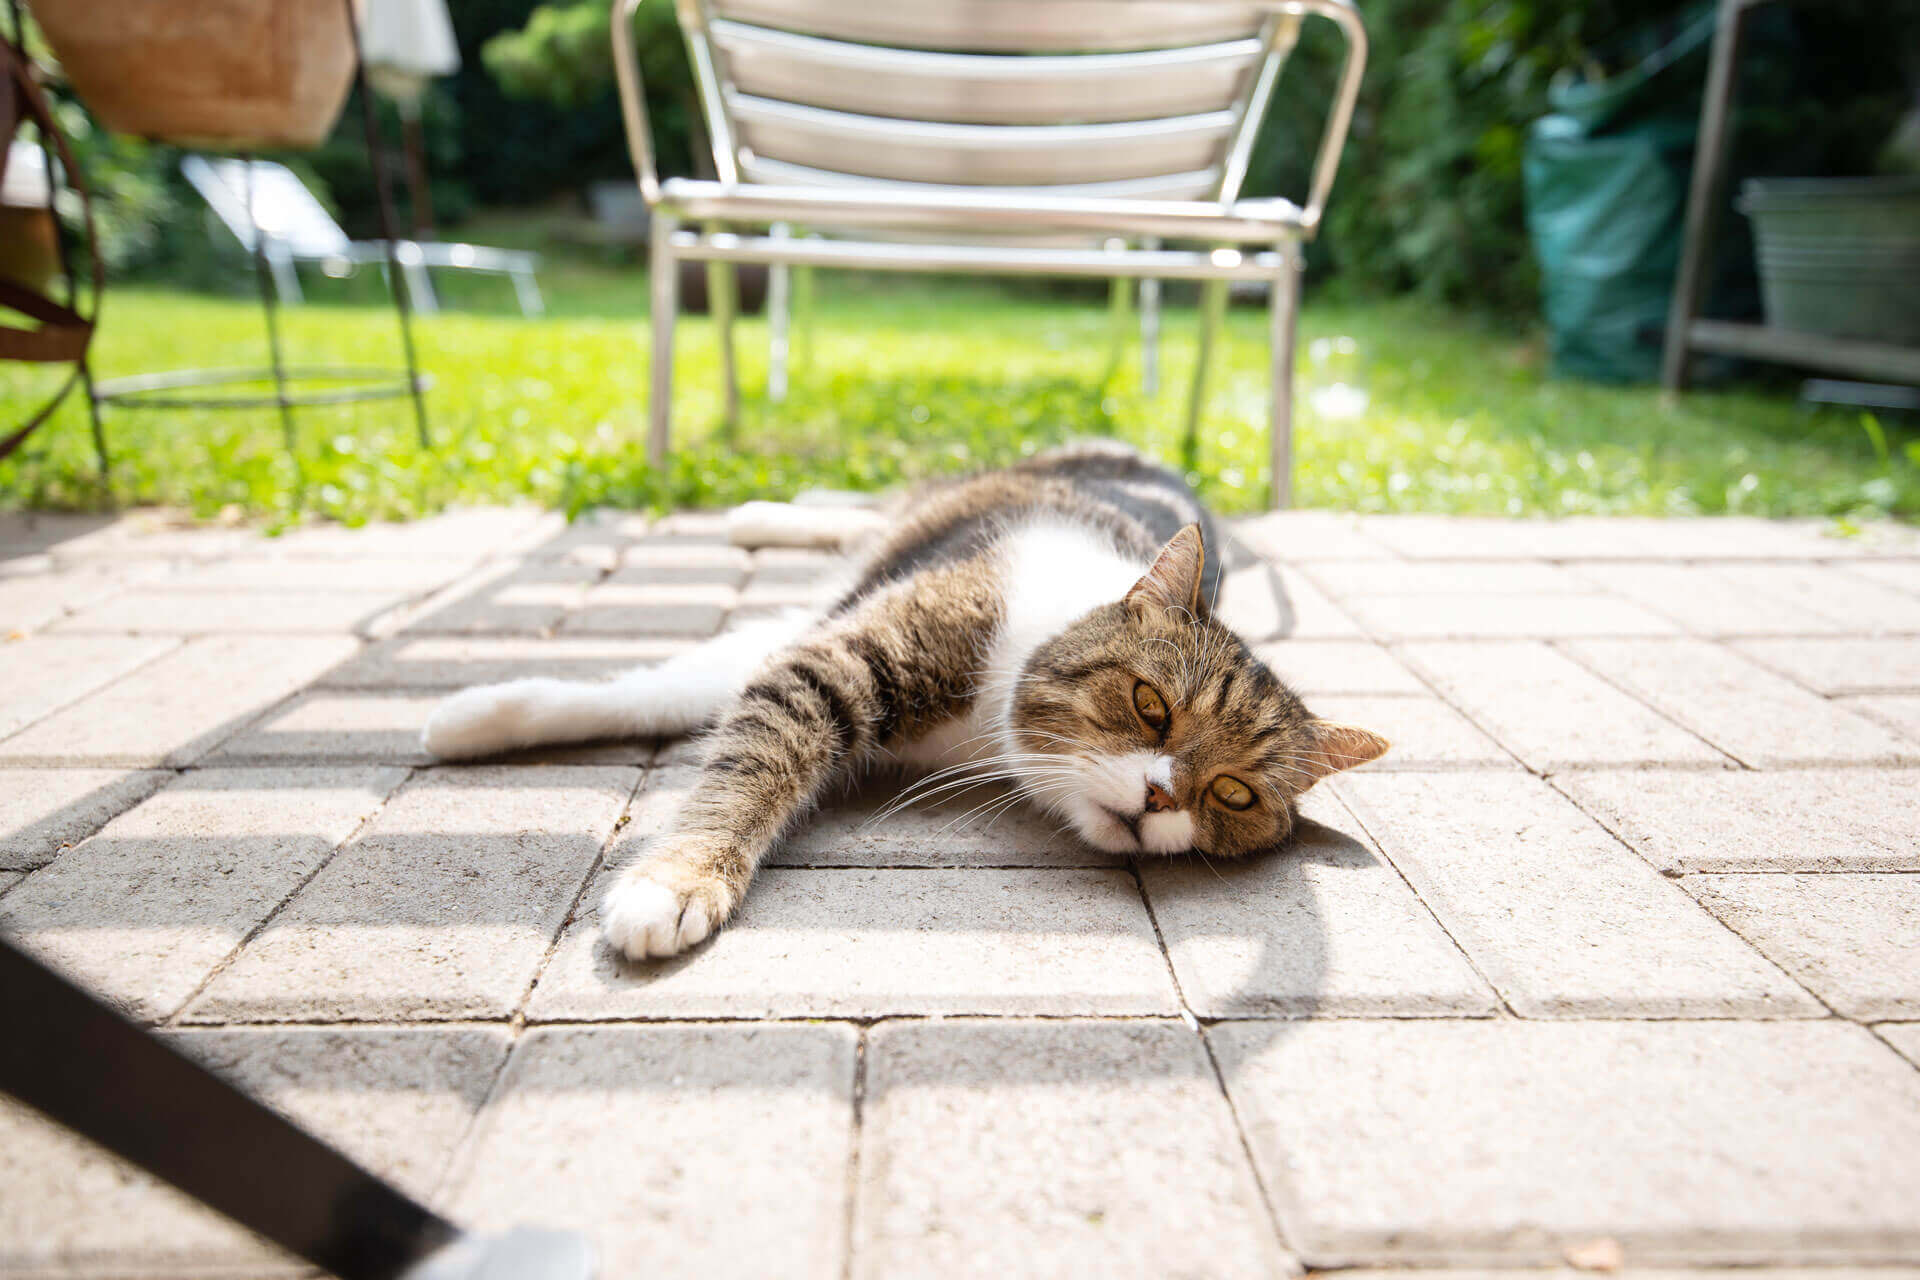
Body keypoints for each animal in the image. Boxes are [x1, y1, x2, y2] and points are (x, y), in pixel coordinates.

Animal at [420, 445, 1390, 955]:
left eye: (1232, 793)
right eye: (1151, 704)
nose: (1159, 798)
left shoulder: (805, 640)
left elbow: (676, 694)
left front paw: (480, 718)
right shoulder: (841, 653)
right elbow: (737, 743)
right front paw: (677, 879)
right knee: (871, 504)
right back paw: (768, 508)